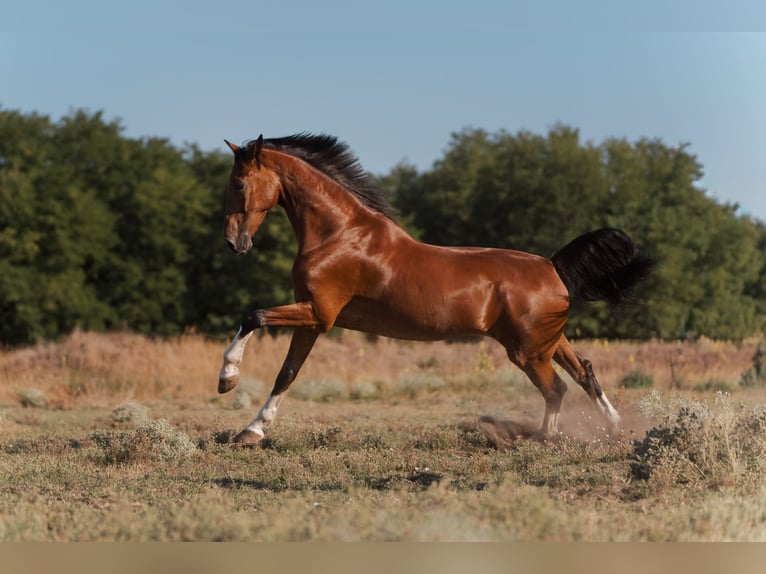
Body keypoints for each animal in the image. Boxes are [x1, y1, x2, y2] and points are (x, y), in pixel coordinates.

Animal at [218, 133, 654, 446]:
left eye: (239, 183)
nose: (233, 243)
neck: (339, 235)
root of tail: (553, 266)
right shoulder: (313, 320)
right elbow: (286, 374)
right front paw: (251, 431)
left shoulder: (317, 313)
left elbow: (252, 317)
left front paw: (228, 379)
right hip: (549, 342)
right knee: (585, 372)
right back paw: (614, 429)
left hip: (528, 351)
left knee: (557, 388)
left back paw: (543, 438)